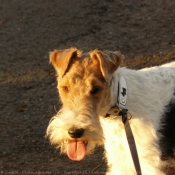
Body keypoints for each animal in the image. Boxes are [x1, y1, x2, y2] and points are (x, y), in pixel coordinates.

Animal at [46, 47, 175, 174]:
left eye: (95, 89)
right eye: (65, 87)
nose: (74, 132)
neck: (121, 101)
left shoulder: (148, 163)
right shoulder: (122, 161)